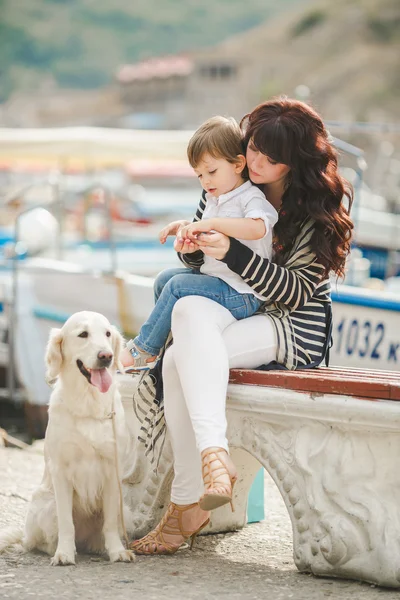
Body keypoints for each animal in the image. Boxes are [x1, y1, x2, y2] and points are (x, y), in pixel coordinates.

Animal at [0, 312, 135, 564]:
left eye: (107, 334)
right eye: (83, 334)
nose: (106, 356)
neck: (88, 404)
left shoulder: (112, 470)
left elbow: (110, 523)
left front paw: (117, 551)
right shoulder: (61, 470)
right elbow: (66, 522)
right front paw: (63, 553)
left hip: (126, 510)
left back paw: (99, 547)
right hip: (45, 504)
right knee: (36, 541)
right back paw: (58, 548)